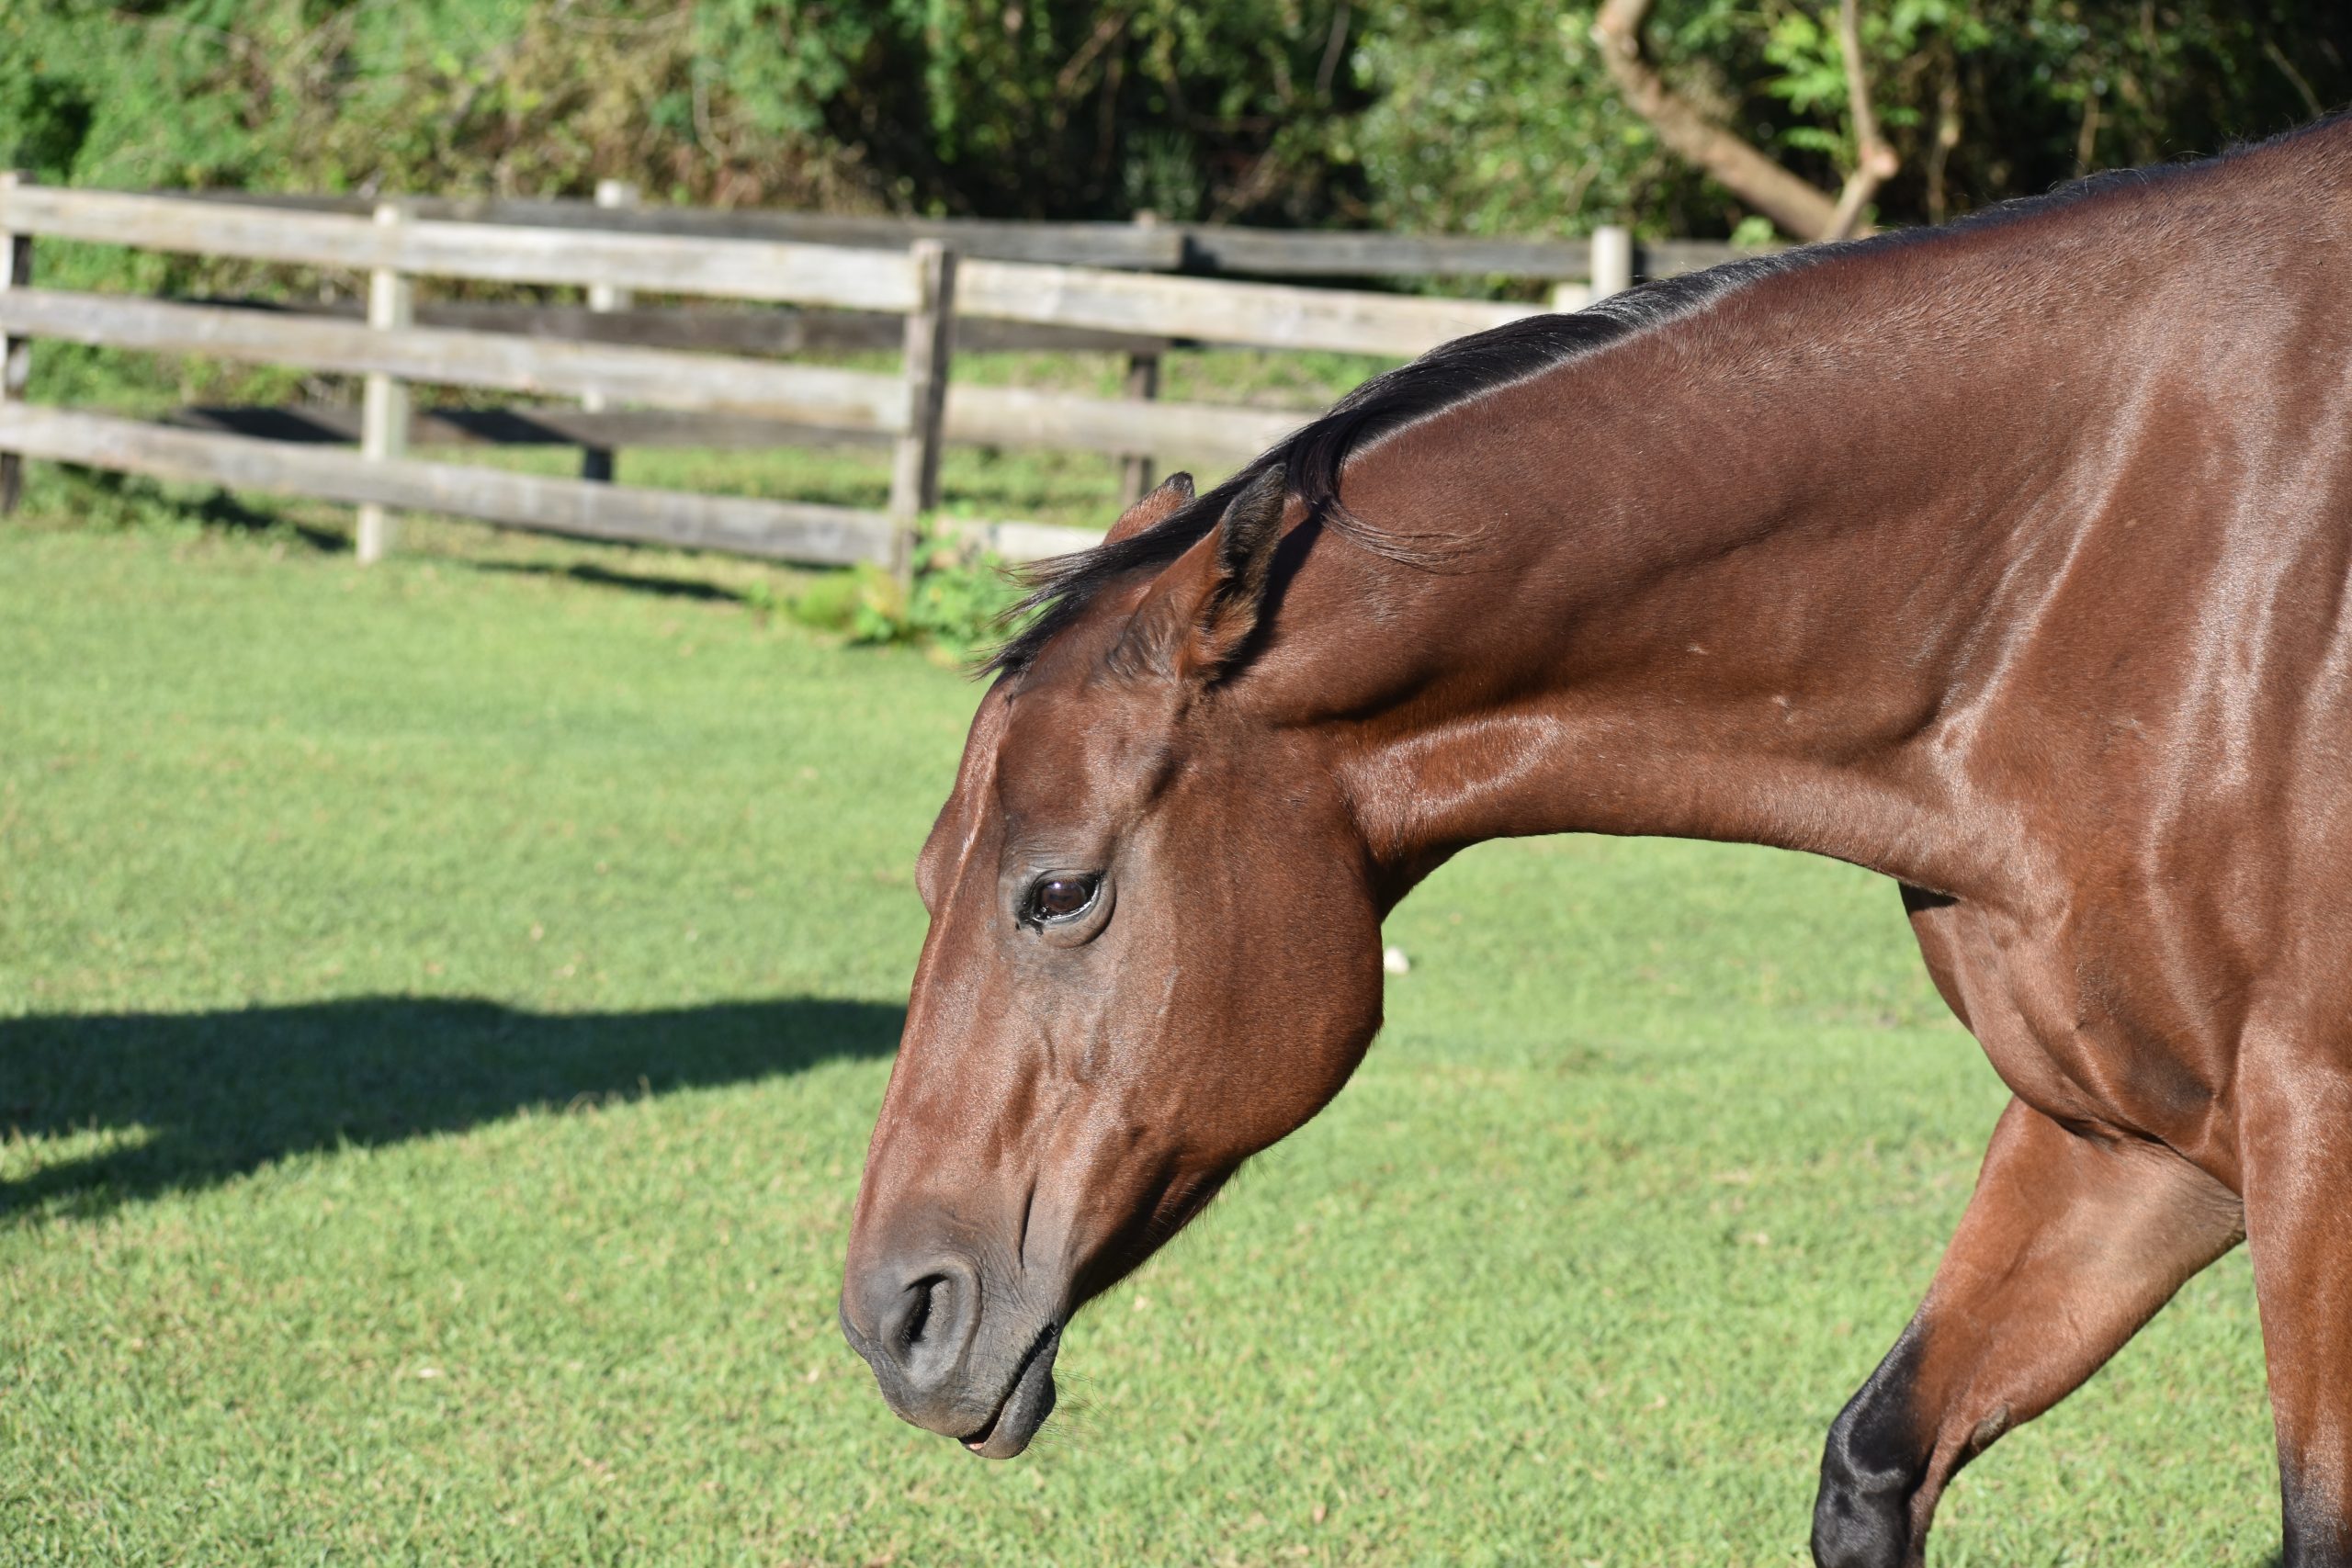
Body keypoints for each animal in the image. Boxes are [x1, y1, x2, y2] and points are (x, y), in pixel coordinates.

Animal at [837, 113, 2352, 1568]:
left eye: (1060, 889)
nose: (893, 1316)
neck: (2120, 563)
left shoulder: (2309, 1135)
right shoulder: (2129, 1141)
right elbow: (1875, 1457)